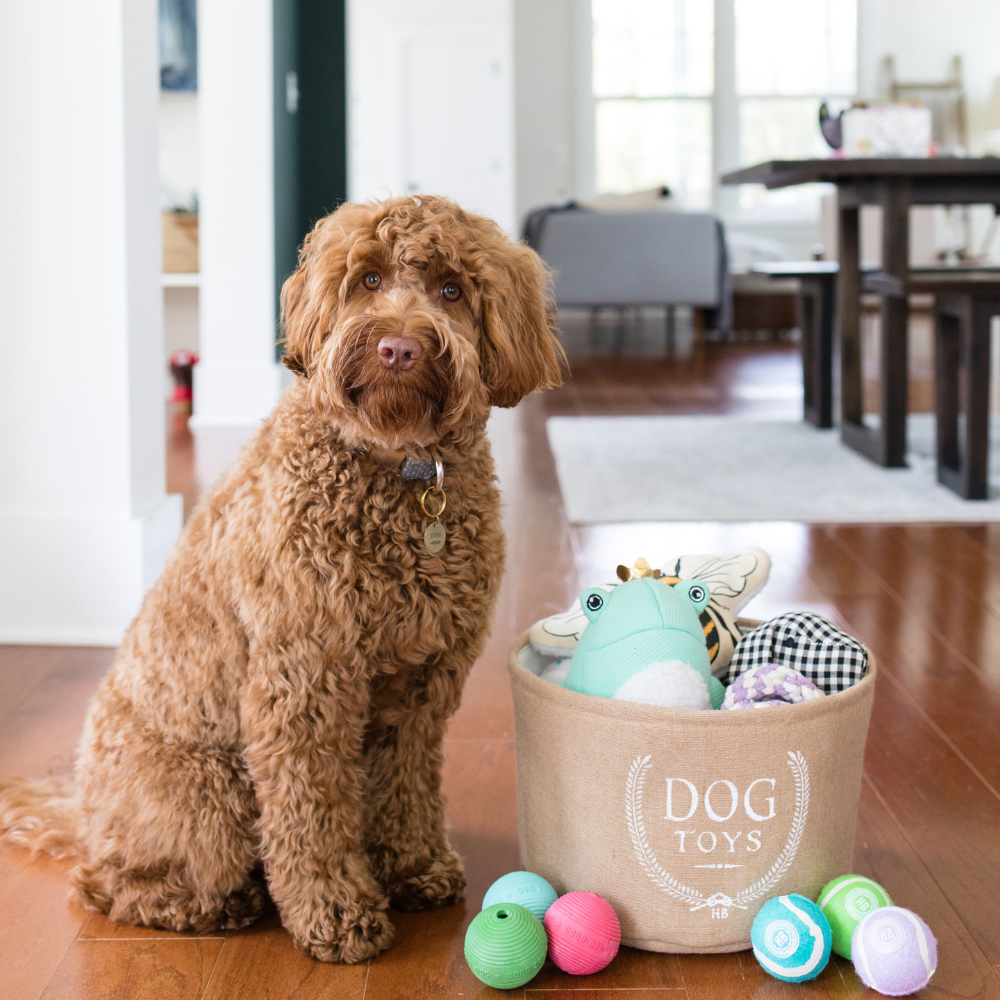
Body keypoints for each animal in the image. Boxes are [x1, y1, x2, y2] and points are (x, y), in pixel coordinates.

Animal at [0, 195, 564, 960]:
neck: (401, 469)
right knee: (105, 883)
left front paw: (412, 867)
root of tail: (81, 805)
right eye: (367, 280)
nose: (399, 348)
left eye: (452, 290)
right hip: (206, 791)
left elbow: (408, 783)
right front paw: (336, 911)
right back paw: (212, 903)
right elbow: (310, 811)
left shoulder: (421, 683)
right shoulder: (304, 679)